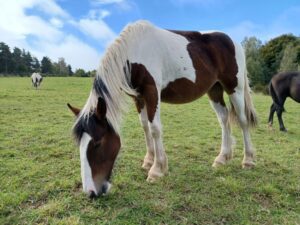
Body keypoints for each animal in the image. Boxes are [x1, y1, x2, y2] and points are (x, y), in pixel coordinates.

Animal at [68, 20, 258, 197]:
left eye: (97, 143)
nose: (91, 192)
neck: (134, 51)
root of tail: (233, 41)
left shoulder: (152, 92)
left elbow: (155, 129)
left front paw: (157, 169)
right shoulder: (139, 97)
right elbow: (145, 127)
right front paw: (148, 161)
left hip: (235, 88)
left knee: (242, 121)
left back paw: (248, 160)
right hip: (214, 89)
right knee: (224, 119)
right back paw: (222, 158)